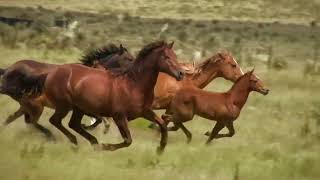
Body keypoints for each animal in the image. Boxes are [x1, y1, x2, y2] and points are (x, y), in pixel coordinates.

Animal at [18, 40, 184, 153]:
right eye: (167, 57)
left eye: (175, 56)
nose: (182, 74)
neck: (133, 85)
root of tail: (50, 74)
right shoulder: (119, 116)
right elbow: (128, 140)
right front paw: (105, 146)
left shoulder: (145, 112)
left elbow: (162, 125)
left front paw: (160, 149)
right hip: (64, 106)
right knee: (56, 121)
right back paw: (78, 141)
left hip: (78, 108)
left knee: (74, 124)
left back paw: (92, 142)